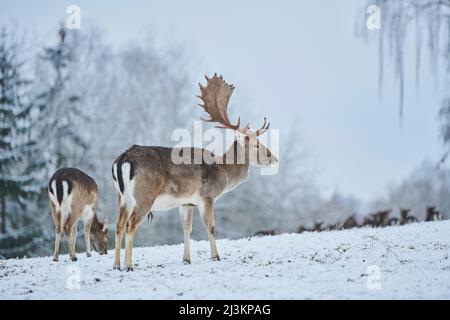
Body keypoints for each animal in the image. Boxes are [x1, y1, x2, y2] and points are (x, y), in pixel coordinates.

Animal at [111, 74, 278, 270]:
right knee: (130, 225)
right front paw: (216, 256)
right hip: (144, 196)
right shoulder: (207, 196)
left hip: (122, 197)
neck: (224, 170)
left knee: (118, 225)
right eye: (257, 144)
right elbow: (210, 226)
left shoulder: (186, 202)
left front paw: (186, 259)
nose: (274, 158)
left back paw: (116, 265)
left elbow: (187, 227)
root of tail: (122, 159)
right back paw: (129, 266)